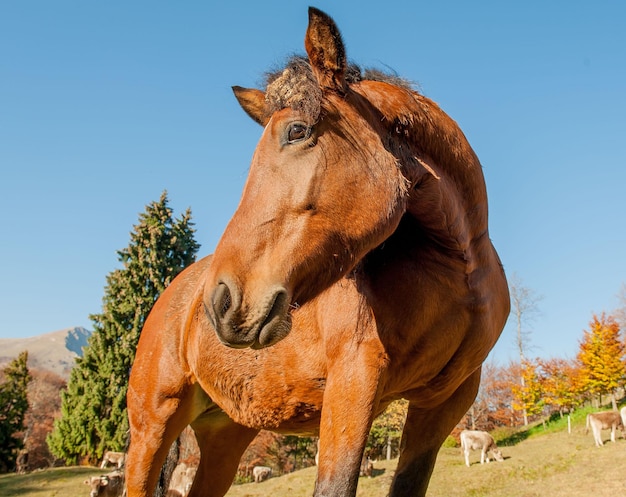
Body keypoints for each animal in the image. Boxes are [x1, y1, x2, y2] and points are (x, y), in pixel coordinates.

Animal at [125, 7, 508, 496]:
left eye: (297, 131)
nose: (221, 301)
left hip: (224, 433)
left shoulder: (445, 400)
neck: (456, 272)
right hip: (152, 428)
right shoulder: (352, 385)